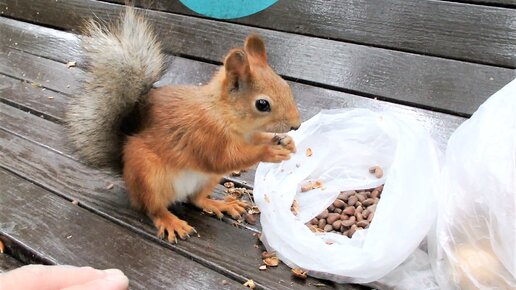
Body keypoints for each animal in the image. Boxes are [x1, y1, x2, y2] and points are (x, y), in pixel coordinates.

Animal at [68, 7, 302, 241]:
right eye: (262, 104)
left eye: (285, 85)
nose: (297, 125)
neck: (224, 114)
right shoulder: (204, 136)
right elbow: (226, 159)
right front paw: (269, 151)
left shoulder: (249, 134)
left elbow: (256, 139)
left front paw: (284, 141)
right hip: (148, 177)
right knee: (152, 207)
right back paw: (170, 221)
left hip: (206, 180)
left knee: (195, 199)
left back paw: (218, 204)